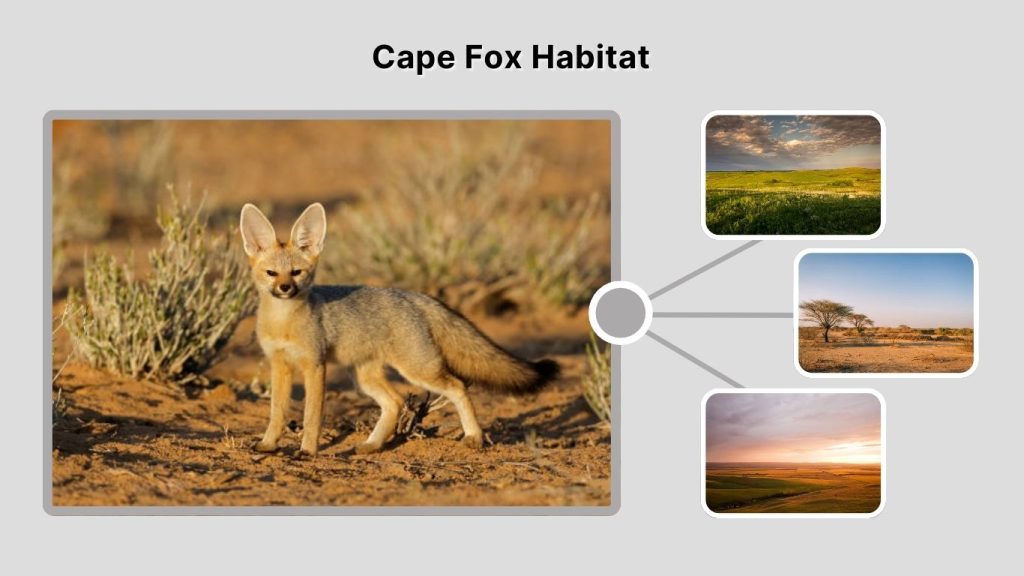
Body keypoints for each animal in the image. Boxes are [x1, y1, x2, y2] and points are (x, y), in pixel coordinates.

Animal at [239, 202, 560, 457]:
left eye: (296, 273)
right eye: (271, 273)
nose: (284, 288)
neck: (283, 323)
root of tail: (412, 295)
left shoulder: (315, 366)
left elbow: (311, 416)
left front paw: (307, 451)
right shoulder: (279, 365)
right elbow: (276, 413)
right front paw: (268, 445)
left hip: (418, 370)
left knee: (457, 387)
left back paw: (473, 436)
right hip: (364, 378)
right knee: (394, 403)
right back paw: (372, 445)